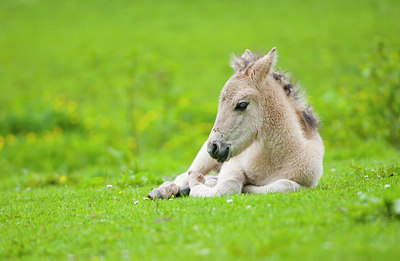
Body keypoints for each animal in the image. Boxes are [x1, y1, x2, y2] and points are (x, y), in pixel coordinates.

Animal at [148, 47, 324, 197]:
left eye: (241, 105)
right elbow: (226, 186)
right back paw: (162, 191)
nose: (213, 147)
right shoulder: (232, 165)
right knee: (186, 175)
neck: (276, 160)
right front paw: (197, 187)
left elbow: (285, 185)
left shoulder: (306, 182)